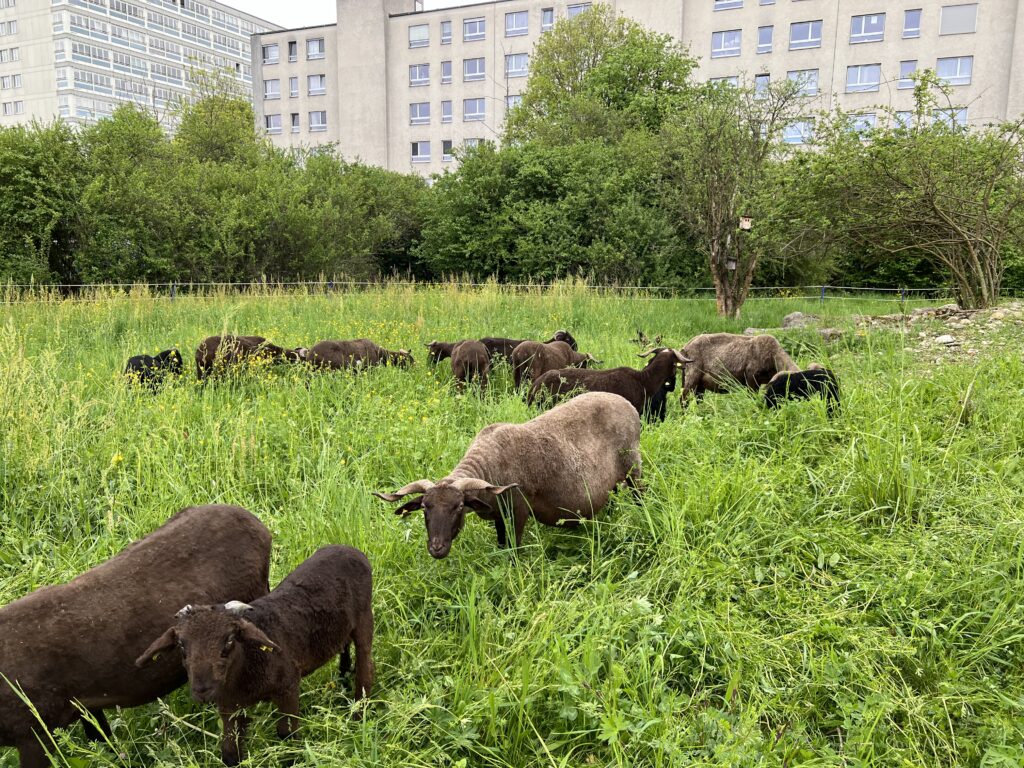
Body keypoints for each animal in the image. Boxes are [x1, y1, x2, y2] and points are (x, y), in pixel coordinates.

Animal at [138, 544, 372, 765]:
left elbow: (287, 734)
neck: (248, 662)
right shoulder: (229, 706)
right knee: (344, 647)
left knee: (365, 668)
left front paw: (293, 758)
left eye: (229, 640)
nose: (202, 690)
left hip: (364, 619)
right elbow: (230, 751)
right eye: (181, 645)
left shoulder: (288, 686)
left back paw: (359, 713)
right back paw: (343, 681)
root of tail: (347, 548)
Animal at [372, 393, 638, 557]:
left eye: (458, 507)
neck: (489, 465)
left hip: (634, 468)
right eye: (425, 508)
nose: (436, 549)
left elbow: (513, 550)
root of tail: (628, 404)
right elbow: (501, 545)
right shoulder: (499, 515)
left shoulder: (517, 511)